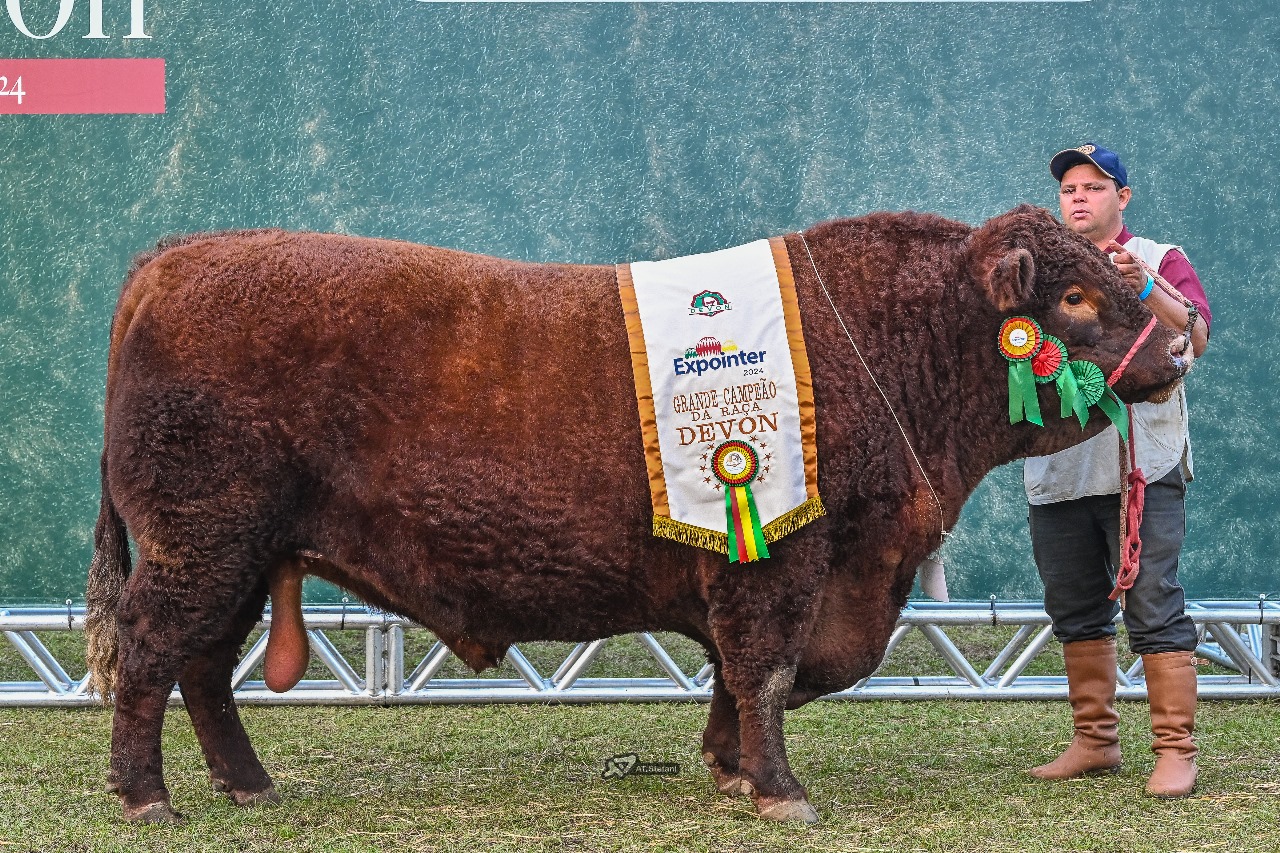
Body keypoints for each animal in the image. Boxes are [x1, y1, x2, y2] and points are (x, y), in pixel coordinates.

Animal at [85, 202, 1192, 819]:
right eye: (1075, 301)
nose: (1180, 344)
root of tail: (175, 259)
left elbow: (740, 674)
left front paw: (730, 769)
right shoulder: (782, 559)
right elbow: (765, 666)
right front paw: (780, 791)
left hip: (236, 551)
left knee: (201, 666)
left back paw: (244, 781)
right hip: (200, 541)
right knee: (151, 651)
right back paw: (146, 797)